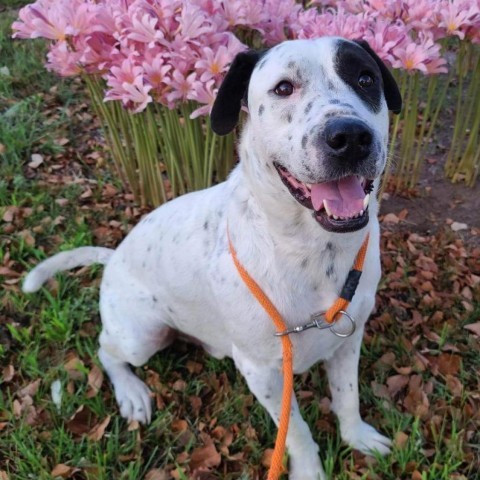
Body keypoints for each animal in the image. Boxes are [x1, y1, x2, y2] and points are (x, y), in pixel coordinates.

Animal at [24, 35, 404, 478]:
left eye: (365, 78)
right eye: (283, 88)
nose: (350, 137)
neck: (312, 251)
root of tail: (115, 254)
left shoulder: (348, 340)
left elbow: (347, 397)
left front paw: (356, 437)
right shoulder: (262, 371)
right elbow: (296, 432)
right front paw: (309, 471)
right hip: (141, 335)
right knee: (106, 349)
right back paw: (131, 392)